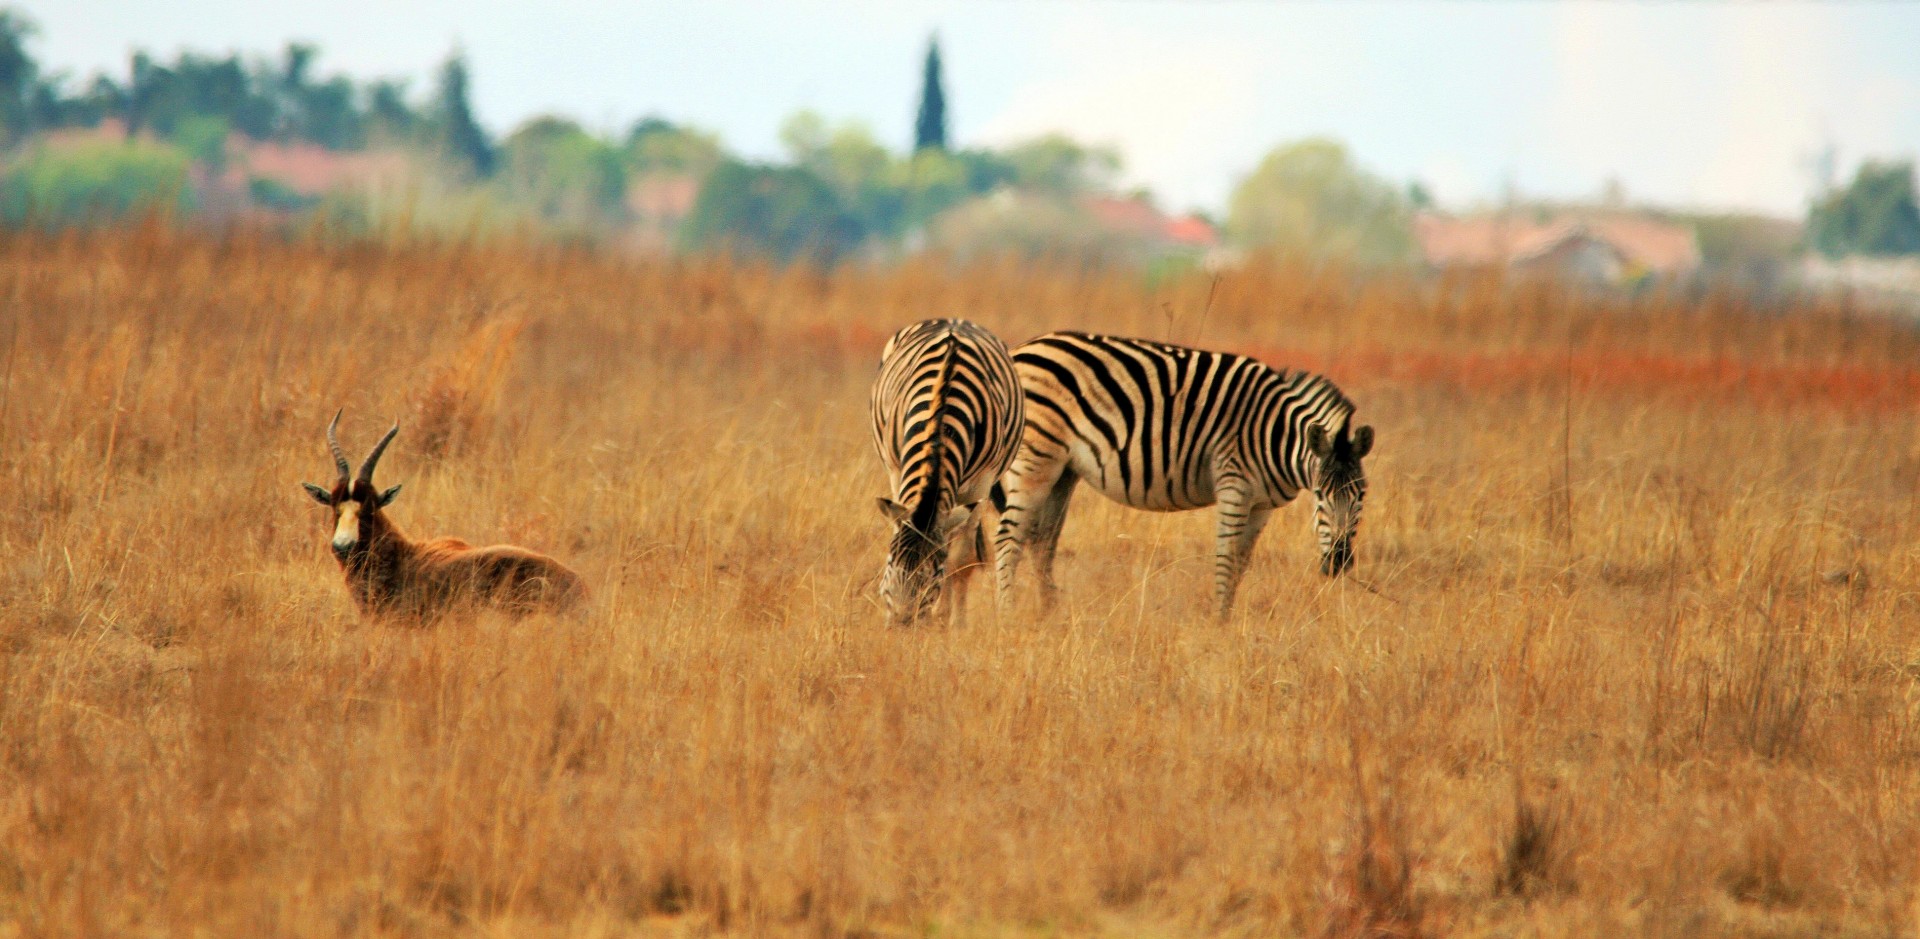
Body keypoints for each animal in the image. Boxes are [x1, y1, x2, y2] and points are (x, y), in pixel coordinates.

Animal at [871, 318, 1029, 626]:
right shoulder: (896, 471)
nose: (901, 626)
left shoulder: (981, 484)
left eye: (932, 577)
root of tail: (954, 320)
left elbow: (959, 560)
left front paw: (950, 622)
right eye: (889, 566)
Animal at [990, 332, 1382, 618]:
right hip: (1036, 459)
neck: (1274, 434)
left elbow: (1242, 562)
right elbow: (1226, 558)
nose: (1339, 563)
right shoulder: (1234, 485)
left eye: (1362, 496)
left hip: (1063, 471)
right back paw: (1008, 615)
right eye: (1321, 496)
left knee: (1043, 542)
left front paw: (1228, 619)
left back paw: (1050, 613)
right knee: (1009, 537)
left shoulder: (1262, 506)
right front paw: (1219, 622)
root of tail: (1022, 349)